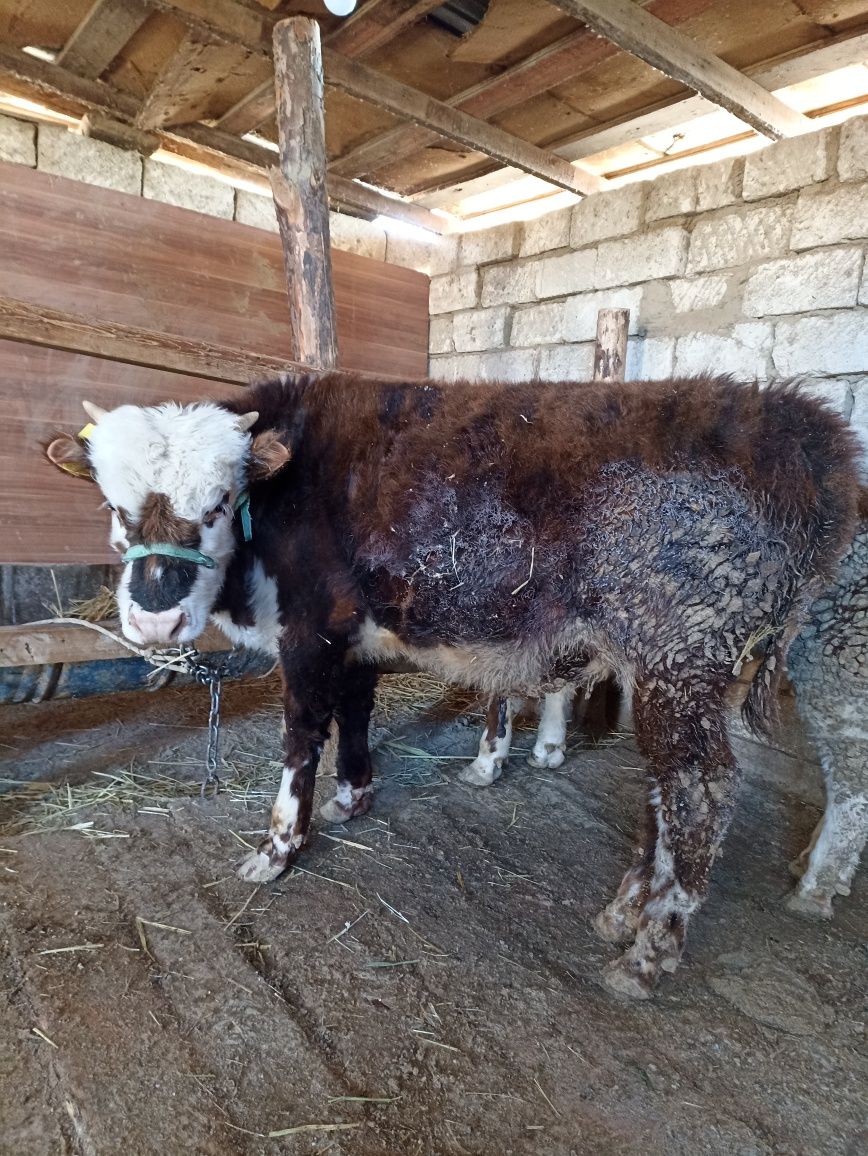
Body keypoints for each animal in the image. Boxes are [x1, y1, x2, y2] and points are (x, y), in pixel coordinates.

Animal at [47, 374, 855, 998]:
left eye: (217, 504)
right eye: (115, 508)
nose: (153, 618)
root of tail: (807, 433)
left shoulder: (307, 633)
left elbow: (301, 736)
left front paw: (277, 850)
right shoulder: (354, 634)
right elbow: (356, 714)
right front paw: (352, 797)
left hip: (683, 655)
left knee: (702, 789)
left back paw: (651, 952)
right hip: (672, 672)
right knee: (665, 785)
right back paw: (626, 911)